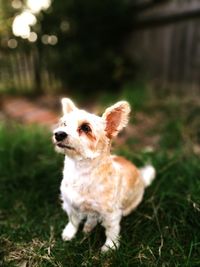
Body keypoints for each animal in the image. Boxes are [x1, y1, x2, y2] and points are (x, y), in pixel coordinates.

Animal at [52, 99, 155, 253]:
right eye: (64, 124)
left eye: (86, 128)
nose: (58, 134)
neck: (81, 171)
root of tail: (142, 178)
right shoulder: (70, 204)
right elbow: (73, 221)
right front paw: (69, 233)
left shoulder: (111, 214)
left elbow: (111, 231)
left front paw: (109, 247)